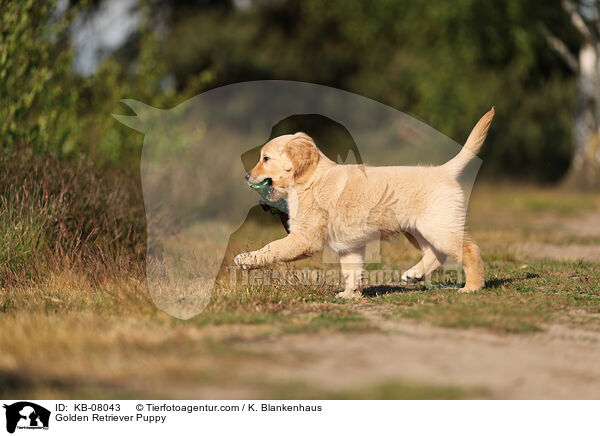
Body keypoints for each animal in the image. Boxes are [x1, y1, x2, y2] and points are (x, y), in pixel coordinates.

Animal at [232, 110, 494, 298]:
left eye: (266, 159)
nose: (245, 176)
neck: (310, 179)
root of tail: (444, 170)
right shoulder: (350, 246)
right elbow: (352, 270)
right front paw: (350, 295)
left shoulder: (304, 238)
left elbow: (273, 248)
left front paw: (247, 259)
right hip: (418, 230)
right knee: (436, 254)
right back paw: (414, 275)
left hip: (437, 226)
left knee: (469, 250)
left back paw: (472, 287)